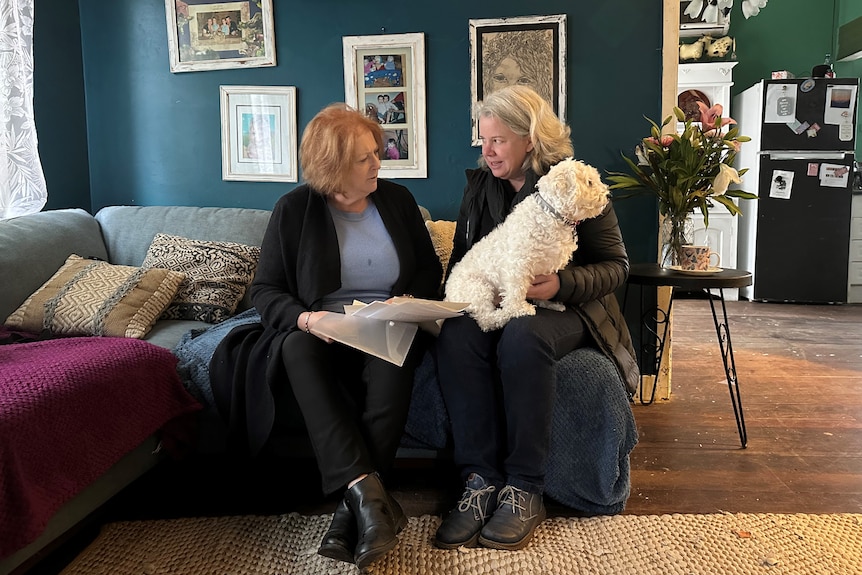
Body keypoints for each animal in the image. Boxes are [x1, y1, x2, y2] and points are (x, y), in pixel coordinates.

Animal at [448, 158, 612, 332]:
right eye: (589, 182)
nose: (608, 195)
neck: (552, 214)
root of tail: (447, 295)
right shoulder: (517, 266)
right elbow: (516, 292)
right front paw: (520, 309)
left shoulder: (545, 267)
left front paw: (548, 303)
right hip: (479, 288)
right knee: (486, 320)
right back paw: (504, 315)